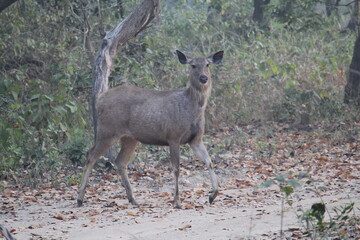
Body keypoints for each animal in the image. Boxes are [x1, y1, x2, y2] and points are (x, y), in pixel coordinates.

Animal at [77, 49, 224, 208]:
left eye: (208, 64)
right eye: (193, 65)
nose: (204, 78)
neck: (191, 108)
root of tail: (99, 99)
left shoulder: (195, 139)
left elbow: (209, 161)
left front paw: (212, 195)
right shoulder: (173, 135)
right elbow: (176, 169)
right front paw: (177, 201)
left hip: (129, 137)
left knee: (120, 161)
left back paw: (133, 199)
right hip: (107, 130)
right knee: (90, 155)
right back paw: (80, 199)